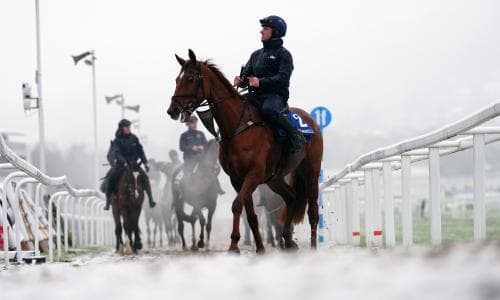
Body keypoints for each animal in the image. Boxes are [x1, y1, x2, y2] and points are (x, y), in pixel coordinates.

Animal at [167, 49, 324, 253]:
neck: (238, 126)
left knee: (313, 210)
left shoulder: (253, 175)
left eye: (190, 78)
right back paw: (288, 240)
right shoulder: (237, 178)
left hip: (311, 170)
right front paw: (260, 248)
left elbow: (236, 205)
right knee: (291, 197)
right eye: (177, 79)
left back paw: (312, 247)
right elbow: (250, 214)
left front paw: (234, 245)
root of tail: (311, 121)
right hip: (274, 178)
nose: (173, 110)